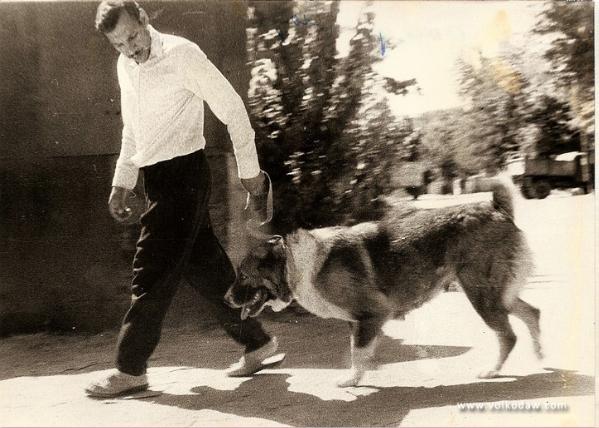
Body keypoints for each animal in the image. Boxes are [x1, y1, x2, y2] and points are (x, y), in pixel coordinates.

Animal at [225, 182, 544, 386]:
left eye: (243, 275)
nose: (226, 299)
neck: (296, 264)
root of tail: (496, 208)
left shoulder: (372, 315)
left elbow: (357, 352)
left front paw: (352, 379)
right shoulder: (359, 321)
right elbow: (359, 351)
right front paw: (358, 376)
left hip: (481, 295)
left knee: (508, 335)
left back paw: (492, 371)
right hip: (497, 295)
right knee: (532, 313)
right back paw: (539, 357)